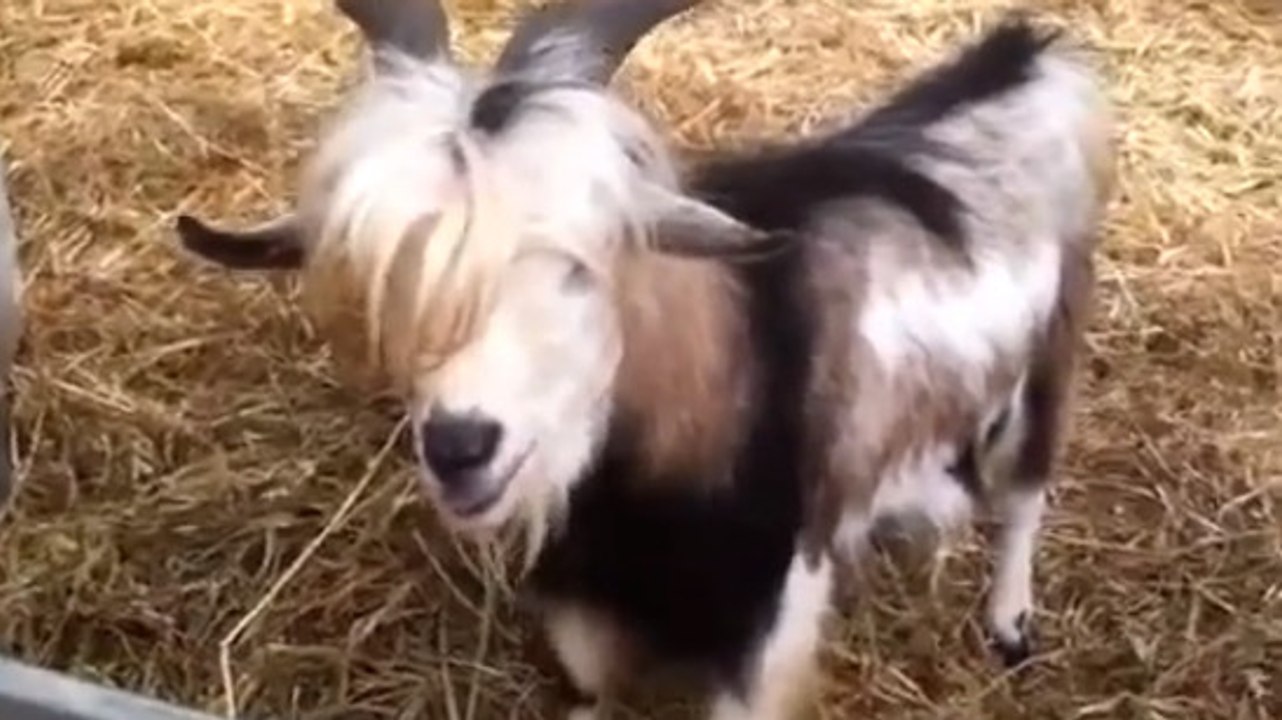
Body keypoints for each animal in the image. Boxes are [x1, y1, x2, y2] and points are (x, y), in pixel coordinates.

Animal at [174, 0, 1115, 717]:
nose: (461, 446)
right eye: (391, 268)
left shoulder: (765, 629)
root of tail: (1027, 57)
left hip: (1050, 354)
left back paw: (1009, 623)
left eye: (585, 263)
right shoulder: (588, 625)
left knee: (1025, 492)